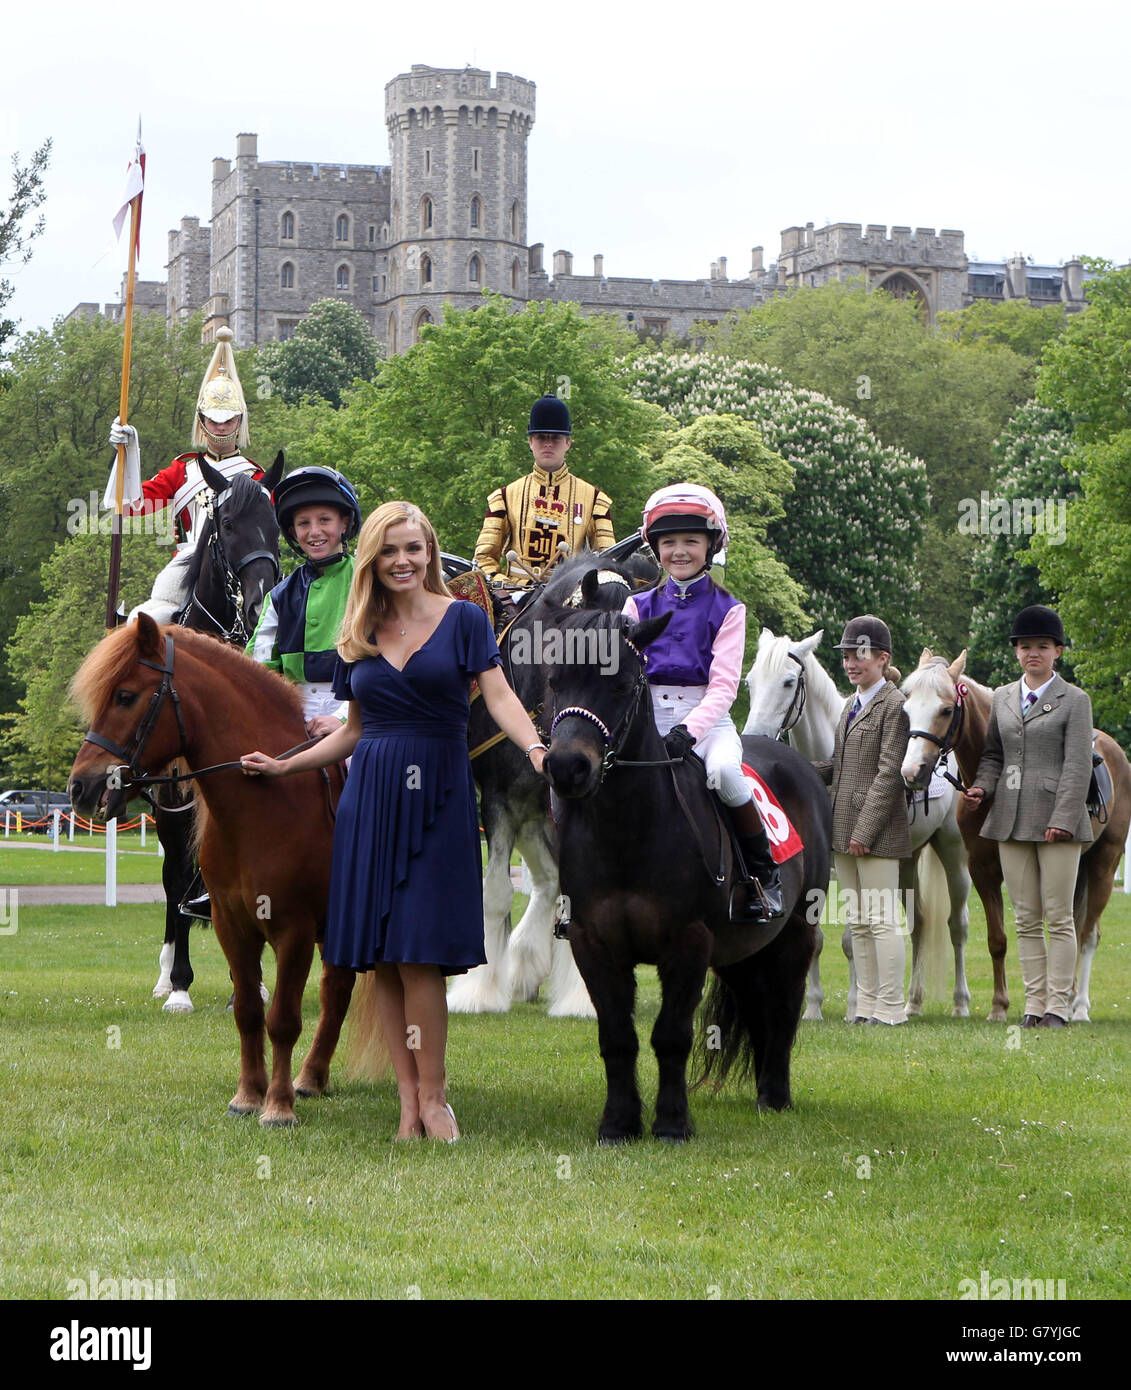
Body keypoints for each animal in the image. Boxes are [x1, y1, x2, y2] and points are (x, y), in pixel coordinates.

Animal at [70, 614, 380, 1123]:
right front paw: (248, 1096)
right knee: (337, 990)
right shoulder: (230, 924)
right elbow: (249, 1012)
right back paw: (312, 1078)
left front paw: (278, 1107)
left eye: (126, 696)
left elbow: (283, 1019)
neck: (265, 797)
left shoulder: (293, 930)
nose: (81, 786)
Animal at [544, 592, 828, 1145]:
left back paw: (774, 1096)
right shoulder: (593, 942)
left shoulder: (689, 942)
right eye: (553, 680)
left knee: (783, 1011)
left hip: (796, 934)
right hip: (741, 951)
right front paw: (618, 1123)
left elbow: (671, 1035)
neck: (630, 830)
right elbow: (617, 1037)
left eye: (622, 682)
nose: (567, 768)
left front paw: (672, 1123)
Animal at [744, 631, 972, 1023]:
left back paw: (960, 1003)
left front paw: (855, 1006)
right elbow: (817, 938)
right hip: (906, 861)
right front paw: (813, 1007)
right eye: (750, 683)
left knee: (956, 925)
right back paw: (911, 1002)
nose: (755, 737)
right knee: (920, 925)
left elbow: (852, 939)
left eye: (788, 682)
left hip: (952, 853)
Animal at [900, 647, 1128, 1023]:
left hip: (1104, 865)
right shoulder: (982, 869)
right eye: (906, 709)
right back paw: (1065, 1001)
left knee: (1087, 934)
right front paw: (999, 1006)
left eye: (945, 709)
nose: (912, 772)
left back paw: (1078, 1006)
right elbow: (998, 939)